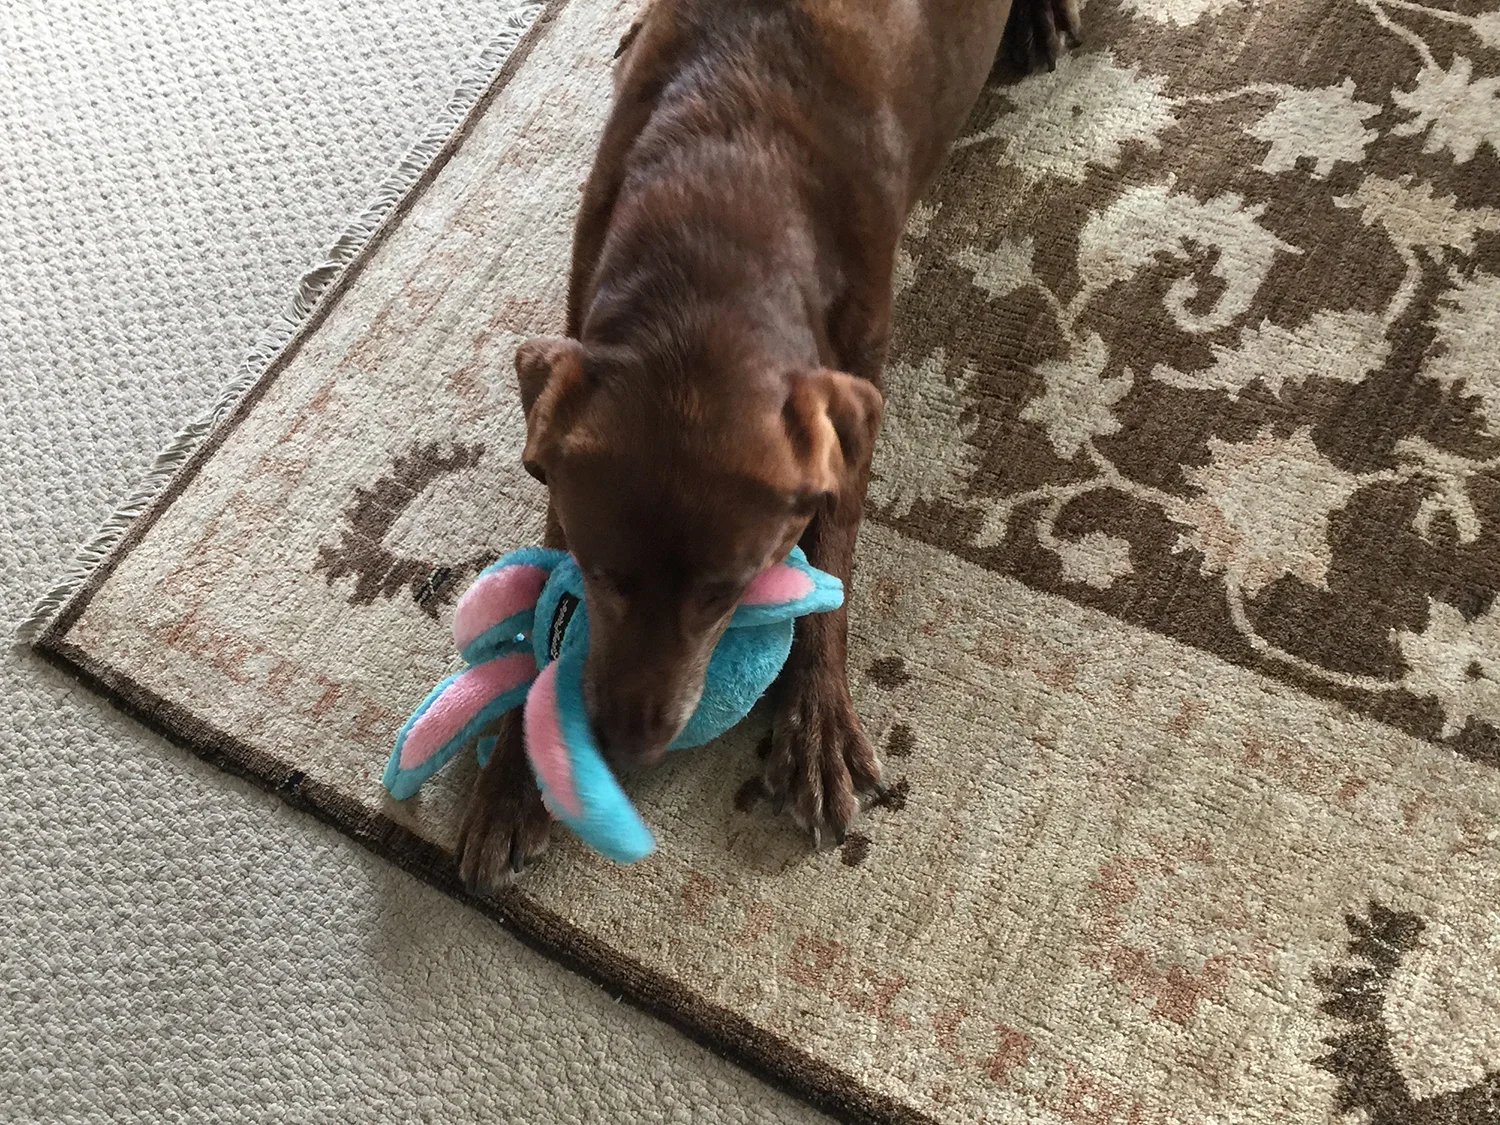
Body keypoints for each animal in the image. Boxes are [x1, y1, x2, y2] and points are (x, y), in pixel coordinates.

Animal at [457, 0, 1081, 888]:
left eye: (730, 588)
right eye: (604, 574)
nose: (625, 744)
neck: (717, 206)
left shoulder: (851, 394)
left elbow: (831, 564)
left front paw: (814, 719)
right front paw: (515, 772)